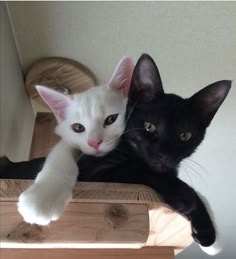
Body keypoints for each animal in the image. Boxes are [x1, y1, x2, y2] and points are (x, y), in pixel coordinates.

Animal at [17, 57, 134, 225]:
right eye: (78, 127)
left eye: (111, 119)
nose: (94, 143)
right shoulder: (68, 141)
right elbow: (61, 154)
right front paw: (43, 195)